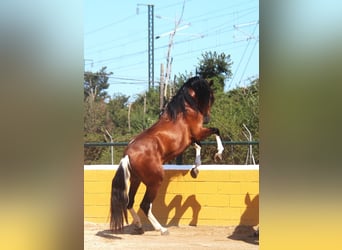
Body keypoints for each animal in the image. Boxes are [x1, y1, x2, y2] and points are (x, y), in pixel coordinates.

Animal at [109, 76, 226, 234]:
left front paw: (195, 170)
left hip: (136, 180)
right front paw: (218, 153)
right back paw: (162, 229)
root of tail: (127, 154)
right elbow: (216, 131)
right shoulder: (198, 132)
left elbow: (198, 146)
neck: (185, 110)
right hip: (155, 181)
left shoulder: (191, 139)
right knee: (145, 204)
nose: (207, 118)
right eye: (211, 97)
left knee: (130, 202)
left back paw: (139, 226)